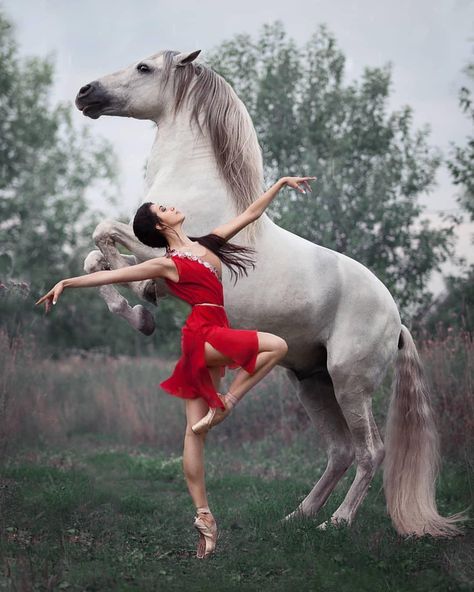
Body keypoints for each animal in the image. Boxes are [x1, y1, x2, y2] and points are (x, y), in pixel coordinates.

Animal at [74, 48, 466, 540]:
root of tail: (397, 321)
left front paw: (142, 311)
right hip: (311, 382)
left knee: (369, 451)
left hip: (349, 383)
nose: (84, 93)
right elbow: (95, 260)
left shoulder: (160, 248)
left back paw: (336, 522)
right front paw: (139, 308)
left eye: (145, 68)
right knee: (340, 451)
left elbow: (104, 235)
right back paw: (298, 516)